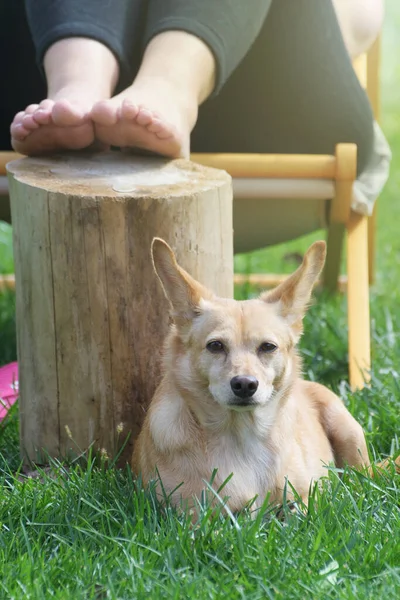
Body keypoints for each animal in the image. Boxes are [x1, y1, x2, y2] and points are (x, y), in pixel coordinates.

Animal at [133, 237, 370, 512]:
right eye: (215, 346)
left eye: (268, 347)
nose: (245, 384)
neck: (240, 435)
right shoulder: (186, 514)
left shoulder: (304, 499)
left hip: (348, 431)